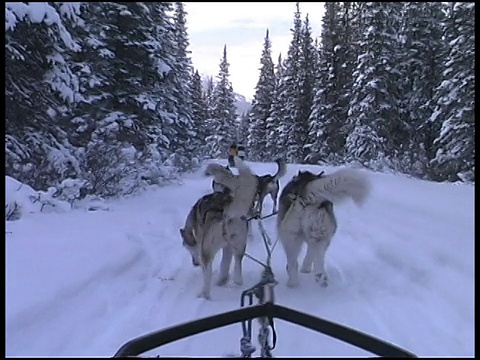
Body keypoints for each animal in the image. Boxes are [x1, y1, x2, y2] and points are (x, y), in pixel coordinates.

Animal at [179, 156, 258, 300]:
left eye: (187, 248)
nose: (195, 263)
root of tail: (226, 212)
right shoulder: (227, 248)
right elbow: (225, 265)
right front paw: (223, 279)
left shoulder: (202, 248)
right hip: (239, 245)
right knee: (237, 268)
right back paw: (231, 280)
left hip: (207, 251)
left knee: (208, 274)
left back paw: (204, 294)